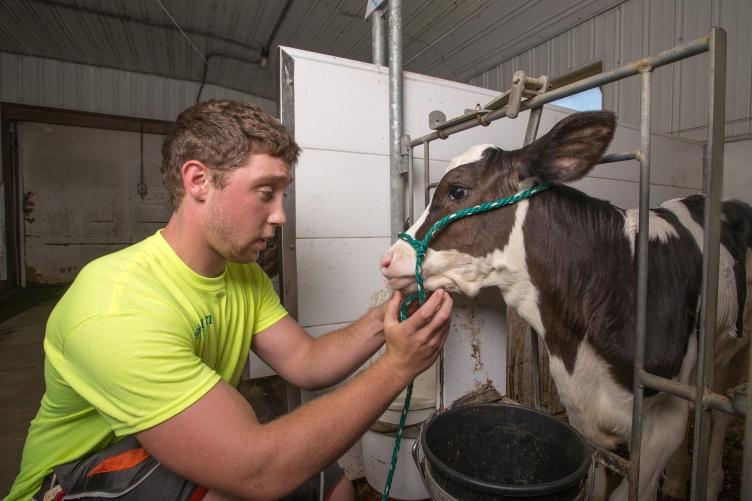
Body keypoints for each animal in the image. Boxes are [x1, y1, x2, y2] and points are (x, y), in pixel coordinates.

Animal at [382, 111, 752, 498]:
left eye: (457, 190)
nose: (388, 259)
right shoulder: (581, 412)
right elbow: (599, 485)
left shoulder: (660, 426)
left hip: (734, 348)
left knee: (717, 411)